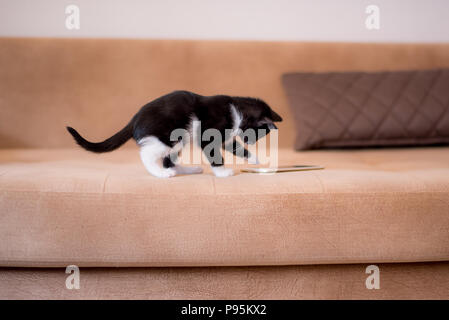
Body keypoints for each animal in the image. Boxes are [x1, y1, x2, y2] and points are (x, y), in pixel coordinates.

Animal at [67, 90, 280, 178]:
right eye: (258, 134)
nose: (251, 142)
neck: (236, 108)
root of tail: (134, 118)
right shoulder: (208, 135)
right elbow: (216, 154)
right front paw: (222, 173)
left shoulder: (226, 138)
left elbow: (234, 147)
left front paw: (254, 159)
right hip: (169, 135)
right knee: (147, 154)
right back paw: (160, 173)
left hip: (180, 139)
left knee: (168, 159)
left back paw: (184, 170)